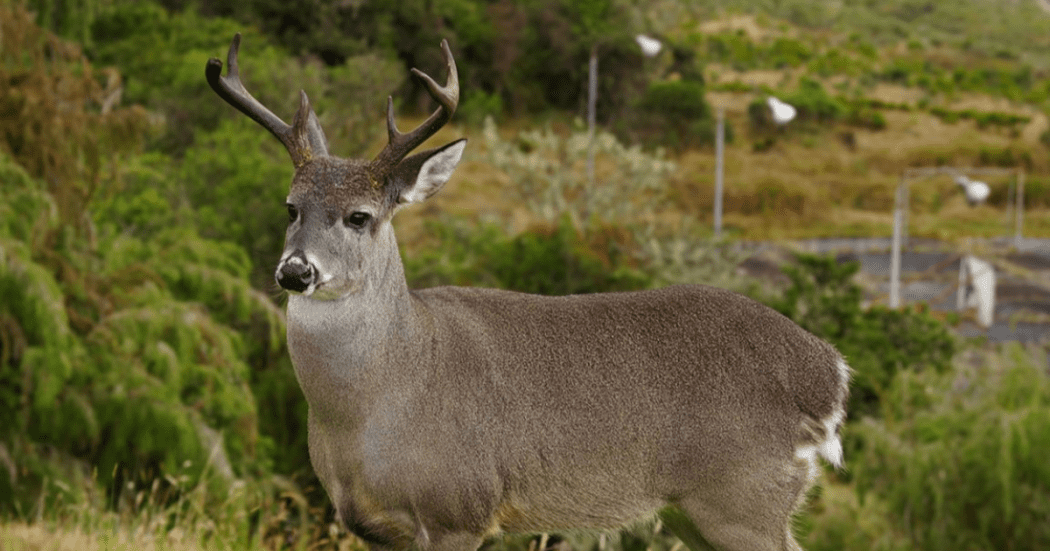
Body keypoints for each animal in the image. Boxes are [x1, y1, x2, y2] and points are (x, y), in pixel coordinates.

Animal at [206, 33, 852, 549]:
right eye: (291, 207)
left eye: (360, 216)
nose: (295, 272)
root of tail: (829, 372)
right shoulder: (374, 527)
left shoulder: (458, 508)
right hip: (695, 513)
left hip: (744, 498)